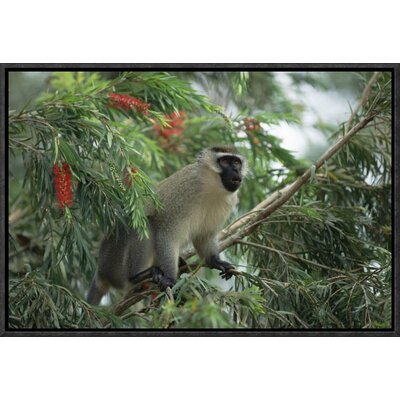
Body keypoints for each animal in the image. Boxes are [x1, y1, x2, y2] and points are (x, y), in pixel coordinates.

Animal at [88, 145, 248, 304]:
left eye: (237, 162)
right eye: (225, 161)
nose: (236, 170)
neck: (211, 188)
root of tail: (101, 271)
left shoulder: (229, 201)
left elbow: (204, 236)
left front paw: (215, 261)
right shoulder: (183, 195)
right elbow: (167, 236)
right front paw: (170, 278)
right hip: (115, 264)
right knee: (145, 224)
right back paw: (136, 278)